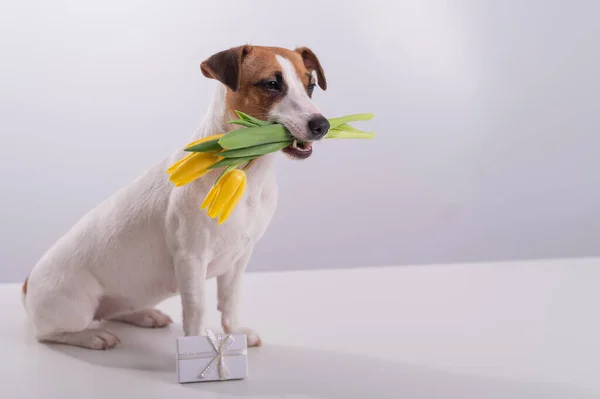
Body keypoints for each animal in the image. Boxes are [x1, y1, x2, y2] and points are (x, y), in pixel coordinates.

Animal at [22, 44, 328, 350]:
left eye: (310, 85)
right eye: (272, 84)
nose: (322, 125)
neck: (242, 173)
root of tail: (27, 285)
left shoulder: (239, 257)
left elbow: (229, 299)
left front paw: (235, 330)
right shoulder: (191, 259)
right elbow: (196, 309)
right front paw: (197, 346)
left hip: (127, 295)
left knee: (114, 312)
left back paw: (144, 315)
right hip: (76, 304)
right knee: (50, 333)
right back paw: (91, 336)